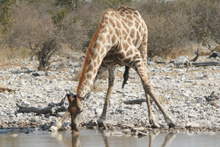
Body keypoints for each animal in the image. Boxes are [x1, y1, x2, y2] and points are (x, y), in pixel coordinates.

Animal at [67, 6, 175, 134]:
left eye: (80, 110)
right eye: (69, 110)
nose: (74, 127)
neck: (110, 38)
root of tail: (136, 12)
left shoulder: (135, 57)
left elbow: (147, 86)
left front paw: (169, 120)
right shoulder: (103, 65)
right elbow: (94, 86)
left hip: (143, 46)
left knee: (145, 82)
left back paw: (152, 120)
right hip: (114, 65)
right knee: (111, 82)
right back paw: (102, 118)